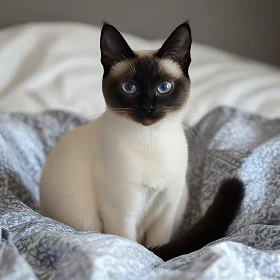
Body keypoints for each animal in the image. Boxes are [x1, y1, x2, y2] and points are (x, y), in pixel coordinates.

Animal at [40, 21, 245, 260]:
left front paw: (157, 260)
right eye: (129, 88)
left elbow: (159, 245)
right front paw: (145, 258)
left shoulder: (166, 210)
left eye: (164, 87)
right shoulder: (122, 212)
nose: (148, 108)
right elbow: (130, 244)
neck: (151, 140)